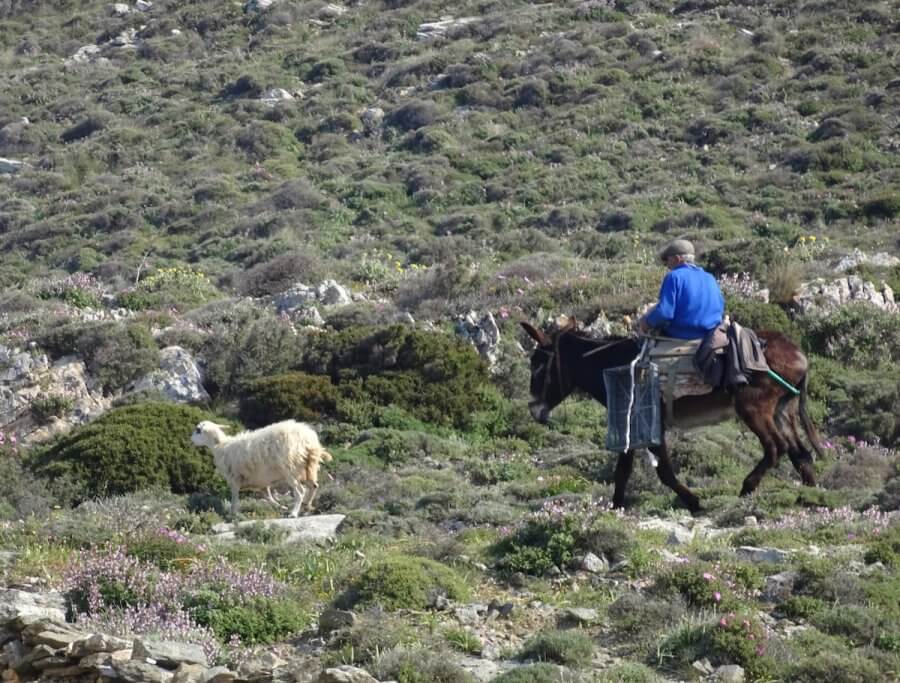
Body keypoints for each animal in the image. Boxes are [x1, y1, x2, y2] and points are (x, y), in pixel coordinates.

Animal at [191, 420, 334, 520]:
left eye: (198, 430)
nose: (190, 439)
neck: (220, 446)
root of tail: (308, 440)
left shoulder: (234, 479)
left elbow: (234, 500)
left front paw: (233, 515)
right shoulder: (261, 483)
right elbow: (269, 498)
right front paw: (281, 507)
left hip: (290, 468)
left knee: (300, 491)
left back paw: (294, 513)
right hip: (309, 467)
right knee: (314, 486)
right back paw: (306, 506)